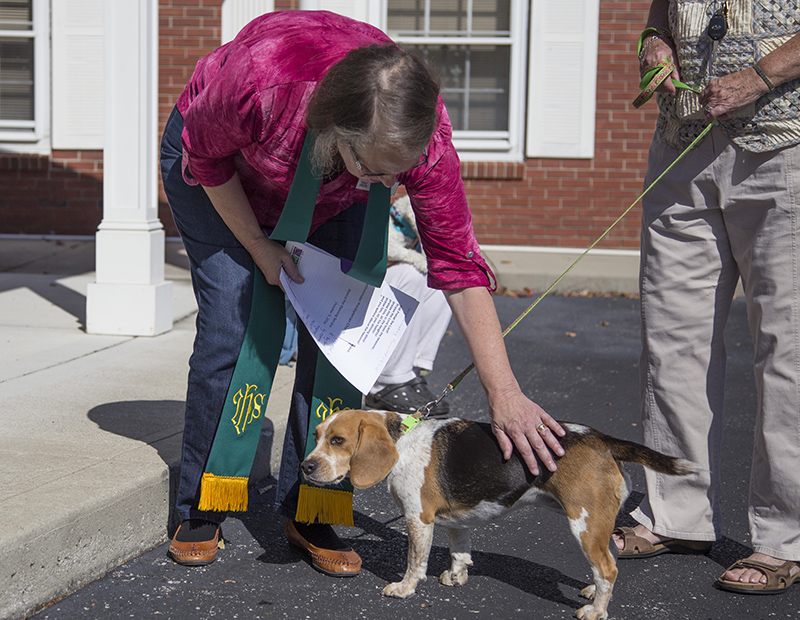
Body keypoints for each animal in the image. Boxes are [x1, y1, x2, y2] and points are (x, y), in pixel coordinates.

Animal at [304, 410, 696, 616]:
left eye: (338, 441)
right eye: (318, 435)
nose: (307, 467)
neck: (401, 441)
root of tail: (599, 439)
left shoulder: (419, 519)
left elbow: (415, 562)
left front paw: (404, 588)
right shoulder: (456, 521)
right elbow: (459, 551)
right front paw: (456, 576)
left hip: (585, 523)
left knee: (609, 568)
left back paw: (597, 610)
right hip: (598, 523)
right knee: (608, 561)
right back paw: (591, 591)